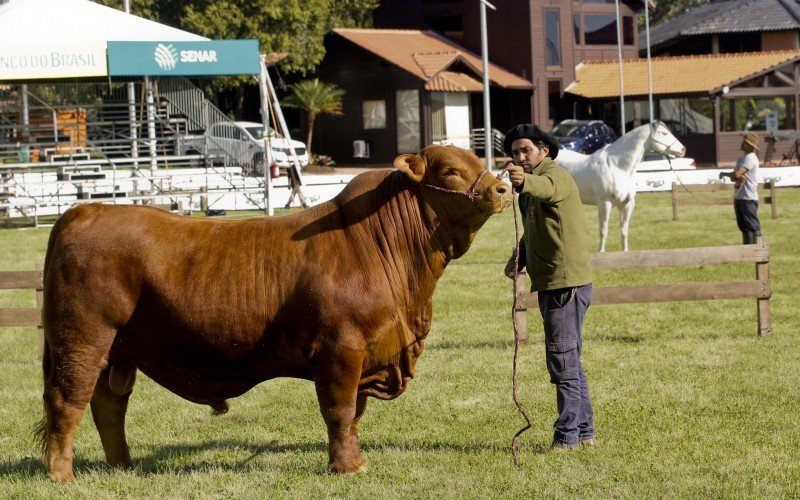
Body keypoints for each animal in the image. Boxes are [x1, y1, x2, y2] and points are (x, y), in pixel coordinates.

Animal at [37, 145, 512, 480]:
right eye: (450, 170)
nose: (502, 188)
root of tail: (85, 211)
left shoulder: (366, 354)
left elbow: (354, 414)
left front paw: (354, 461)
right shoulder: (340, 349)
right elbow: (339, 410)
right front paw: (346, 468)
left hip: (119, 352)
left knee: (108, 405)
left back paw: (123, 466)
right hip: (83, 339)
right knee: (67, 400)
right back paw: (62, 475)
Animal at [556, 123, 688, 252]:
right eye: (664, 133)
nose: (683, 150)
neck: (617, 166)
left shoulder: (627, 204)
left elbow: (624, 231)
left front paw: (625, 252)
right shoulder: (605, 203)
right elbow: (603, 231)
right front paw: (601, 252)